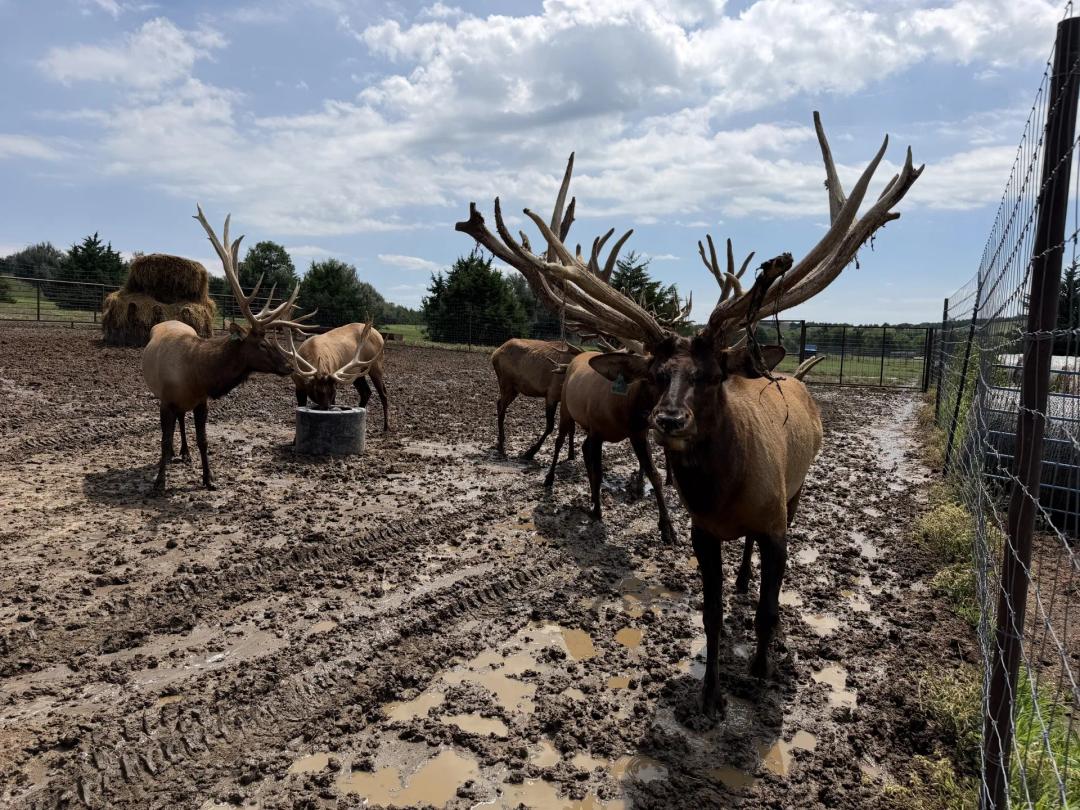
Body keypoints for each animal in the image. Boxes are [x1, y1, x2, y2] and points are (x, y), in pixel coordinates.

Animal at [142, 206, 314, 493]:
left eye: (272, 342)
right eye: (263, 344)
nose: (290, 365)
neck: (196, 375)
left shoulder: (201, 401)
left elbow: (203, 440)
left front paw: (209, 479)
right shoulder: (165, 400)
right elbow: (164, 442)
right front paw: (159, 482)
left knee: (182, 421)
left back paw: (185, 453)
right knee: (174, 425)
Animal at [456, 112, 922, 715]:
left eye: (710, 375)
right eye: (656, 373)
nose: (670, 421)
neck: (726, 494)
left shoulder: (775, 523)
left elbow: (768, 609)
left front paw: (761, 672)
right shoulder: (704, 529)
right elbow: (710, 614)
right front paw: (708, 695)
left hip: (795, 489)